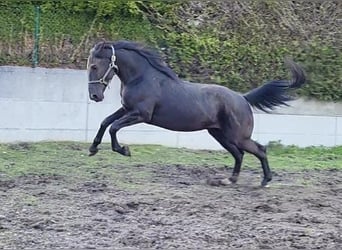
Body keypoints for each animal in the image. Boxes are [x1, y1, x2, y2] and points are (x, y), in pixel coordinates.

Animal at [87, 40, 306, 186]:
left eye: (95, 66)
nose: (95, 96)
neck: (142, 78)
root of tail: (243, 98)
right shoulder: (127, 109)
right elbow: (105, 122)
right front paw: (93, 149)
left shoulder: (140, 114)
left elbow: (114, 127)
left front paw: (124, 150)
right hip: (220, 134)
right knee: (239, 154)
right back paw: (230, 180)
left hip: (237, 136)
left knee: (259, 150)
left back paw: (265, 181)